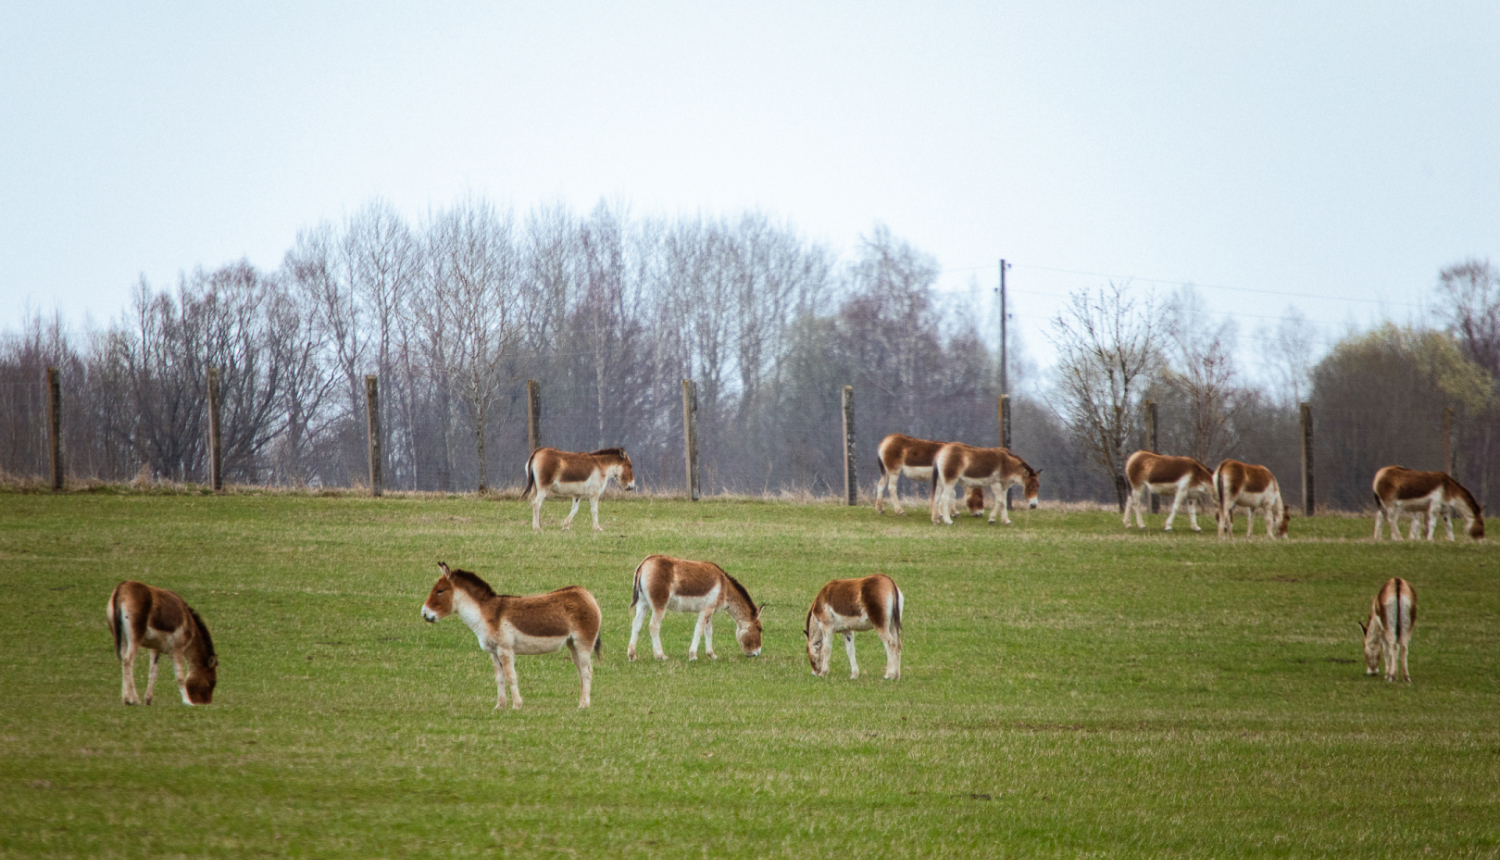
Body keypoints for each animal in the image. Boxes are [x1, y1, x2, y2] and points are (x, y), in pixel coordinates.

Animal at [420, 561, 600, 708]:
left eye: (440, 591)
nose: (424, 614)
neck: (486, 614)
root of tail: (586, 594)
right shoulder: (494, 652)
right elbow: (499, 678)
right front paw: (500, 706)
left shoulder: (505, 650)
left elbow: (511, 676)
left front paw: (517, 705)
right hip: (572, 644)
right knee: (580, 671)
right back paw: (583, 702)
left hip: (583, 643)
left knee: (587, 671)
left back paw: (584, 705)